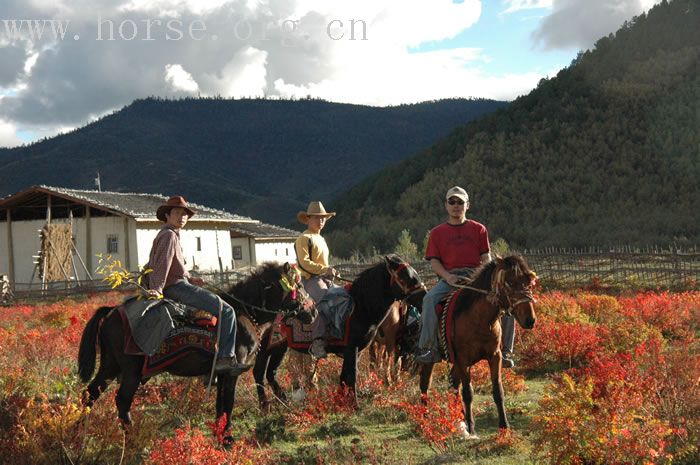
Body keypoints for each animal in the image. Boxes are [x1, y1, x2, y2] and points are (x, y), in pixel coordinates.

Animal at [76, 262, 308, 436]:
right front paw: (228, 437)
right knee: (122, 401)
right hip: (130, 371)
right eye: (299, 285)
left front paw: (219, 435)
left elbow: (220, 405)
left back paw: (77, 434)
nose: (311, 310)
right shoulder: (232, 371)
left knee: (90, 394)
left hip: (110, 366)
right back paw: (131, 438)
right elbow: (229, 402)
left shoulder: (221, 373)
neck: (243, 313)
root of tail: (112, 312)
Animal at [252, 252, 426, 408]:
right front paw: (355, 405)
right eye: (404, 278)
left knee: (271, 372)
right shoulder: (352, 348)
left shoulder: (356, 350)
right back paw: (264, 405)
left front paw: (341, 401)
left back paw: (283, 400)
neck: (360, 306)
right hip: (265, 347)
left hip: (279, 346)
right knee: (258, 372)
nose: (424, 298)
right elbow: (352, 375)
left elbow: (344, 375)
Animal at [418, 256, 540, 436]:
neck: (480, 319)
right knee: (425, 385)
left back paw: (458, 417)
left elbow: (498, 391)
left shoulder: (494, 356)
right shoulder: (463, 360)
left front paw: (504, 426)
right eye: (510, 282)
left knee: (453, 385)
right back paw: (425, 418)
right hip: (432, 359)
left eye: (529, 283)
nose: (530, 320)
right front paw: (471, 427)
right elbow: (468, 393)